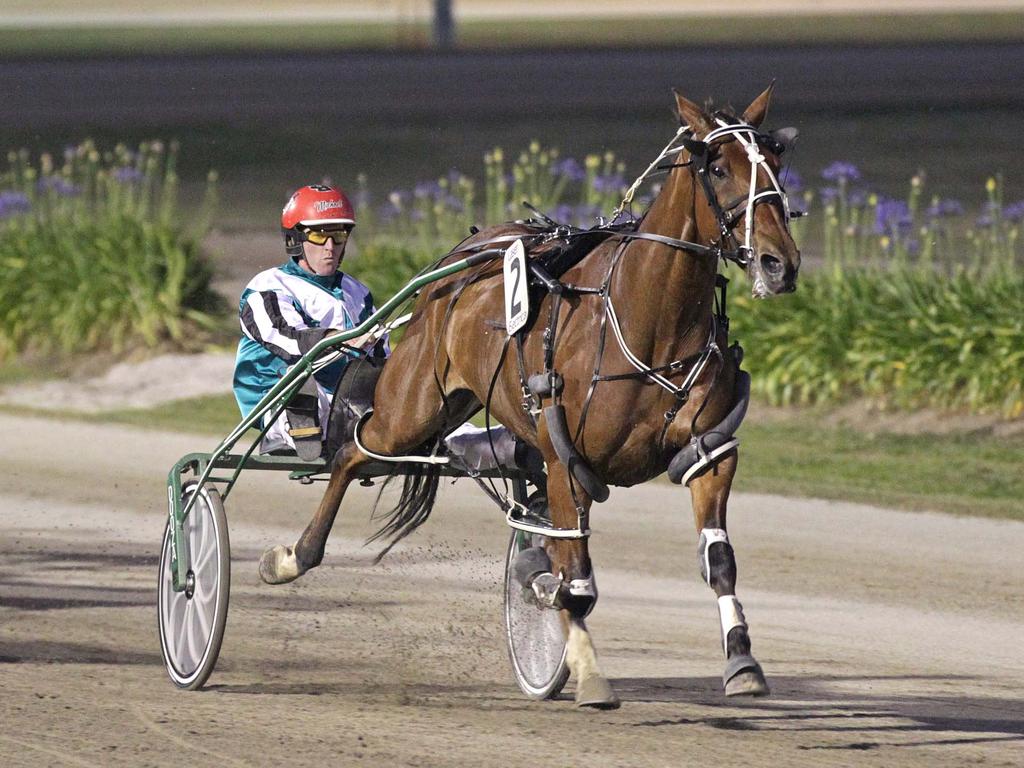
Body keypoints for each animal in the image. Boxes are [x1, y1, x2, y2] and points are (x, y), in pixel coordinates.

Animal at [256, 85, 798, 708]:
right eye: (717, 167)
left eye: (776, 162)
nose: (780, 263)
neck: (647, 317)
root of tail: (465, 253)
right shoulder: (567, 460)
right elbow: (577, 580)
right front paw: (588, 670)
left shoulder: (707, 452)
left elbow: (718, 560)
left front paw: (742, 660)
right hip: (412, 408)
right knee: (351, 453)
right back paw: (293, 556)